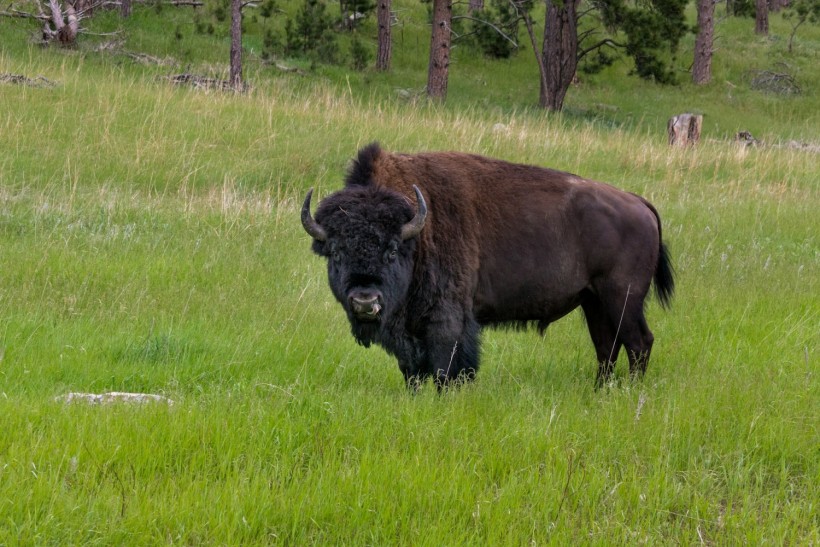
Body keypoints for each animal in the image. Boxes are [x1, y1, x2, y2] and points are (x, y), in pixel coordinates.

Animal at [302, 143, 672, 388]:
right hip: (593, 301)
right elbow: (413, 370)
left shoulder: (448, 319)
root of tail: (638, 202)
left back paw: (630, 392)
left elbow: (447, 366)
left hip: (623, 298)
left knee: (639, 343)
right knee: (607, 347)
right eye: (335, 252)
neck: (417, 231)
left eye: (392, 250)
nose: (365, 301)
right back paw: (599, 392)